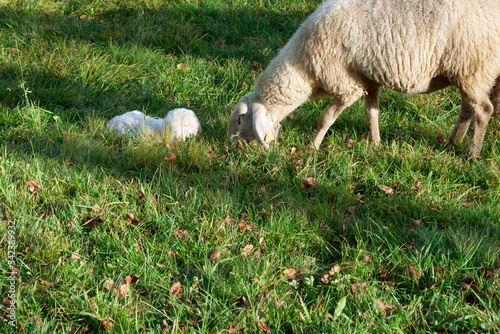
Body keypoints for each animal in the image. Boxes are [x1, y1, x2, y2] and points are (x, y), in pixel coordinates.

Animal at [229, 0, 500, 158]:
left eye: (241, 118)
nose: (232, 147)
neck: (303, 69)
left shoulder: (346, 84)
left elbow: (326, 118)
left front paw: (312, 147)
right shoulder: (368, 79)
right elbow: (372, 112)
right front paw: (375, 143)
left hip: (473, 67)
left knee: (483, 109)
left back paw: (471, 154)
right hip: (469, 72)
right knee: (469, 107)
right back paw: (454, 141)